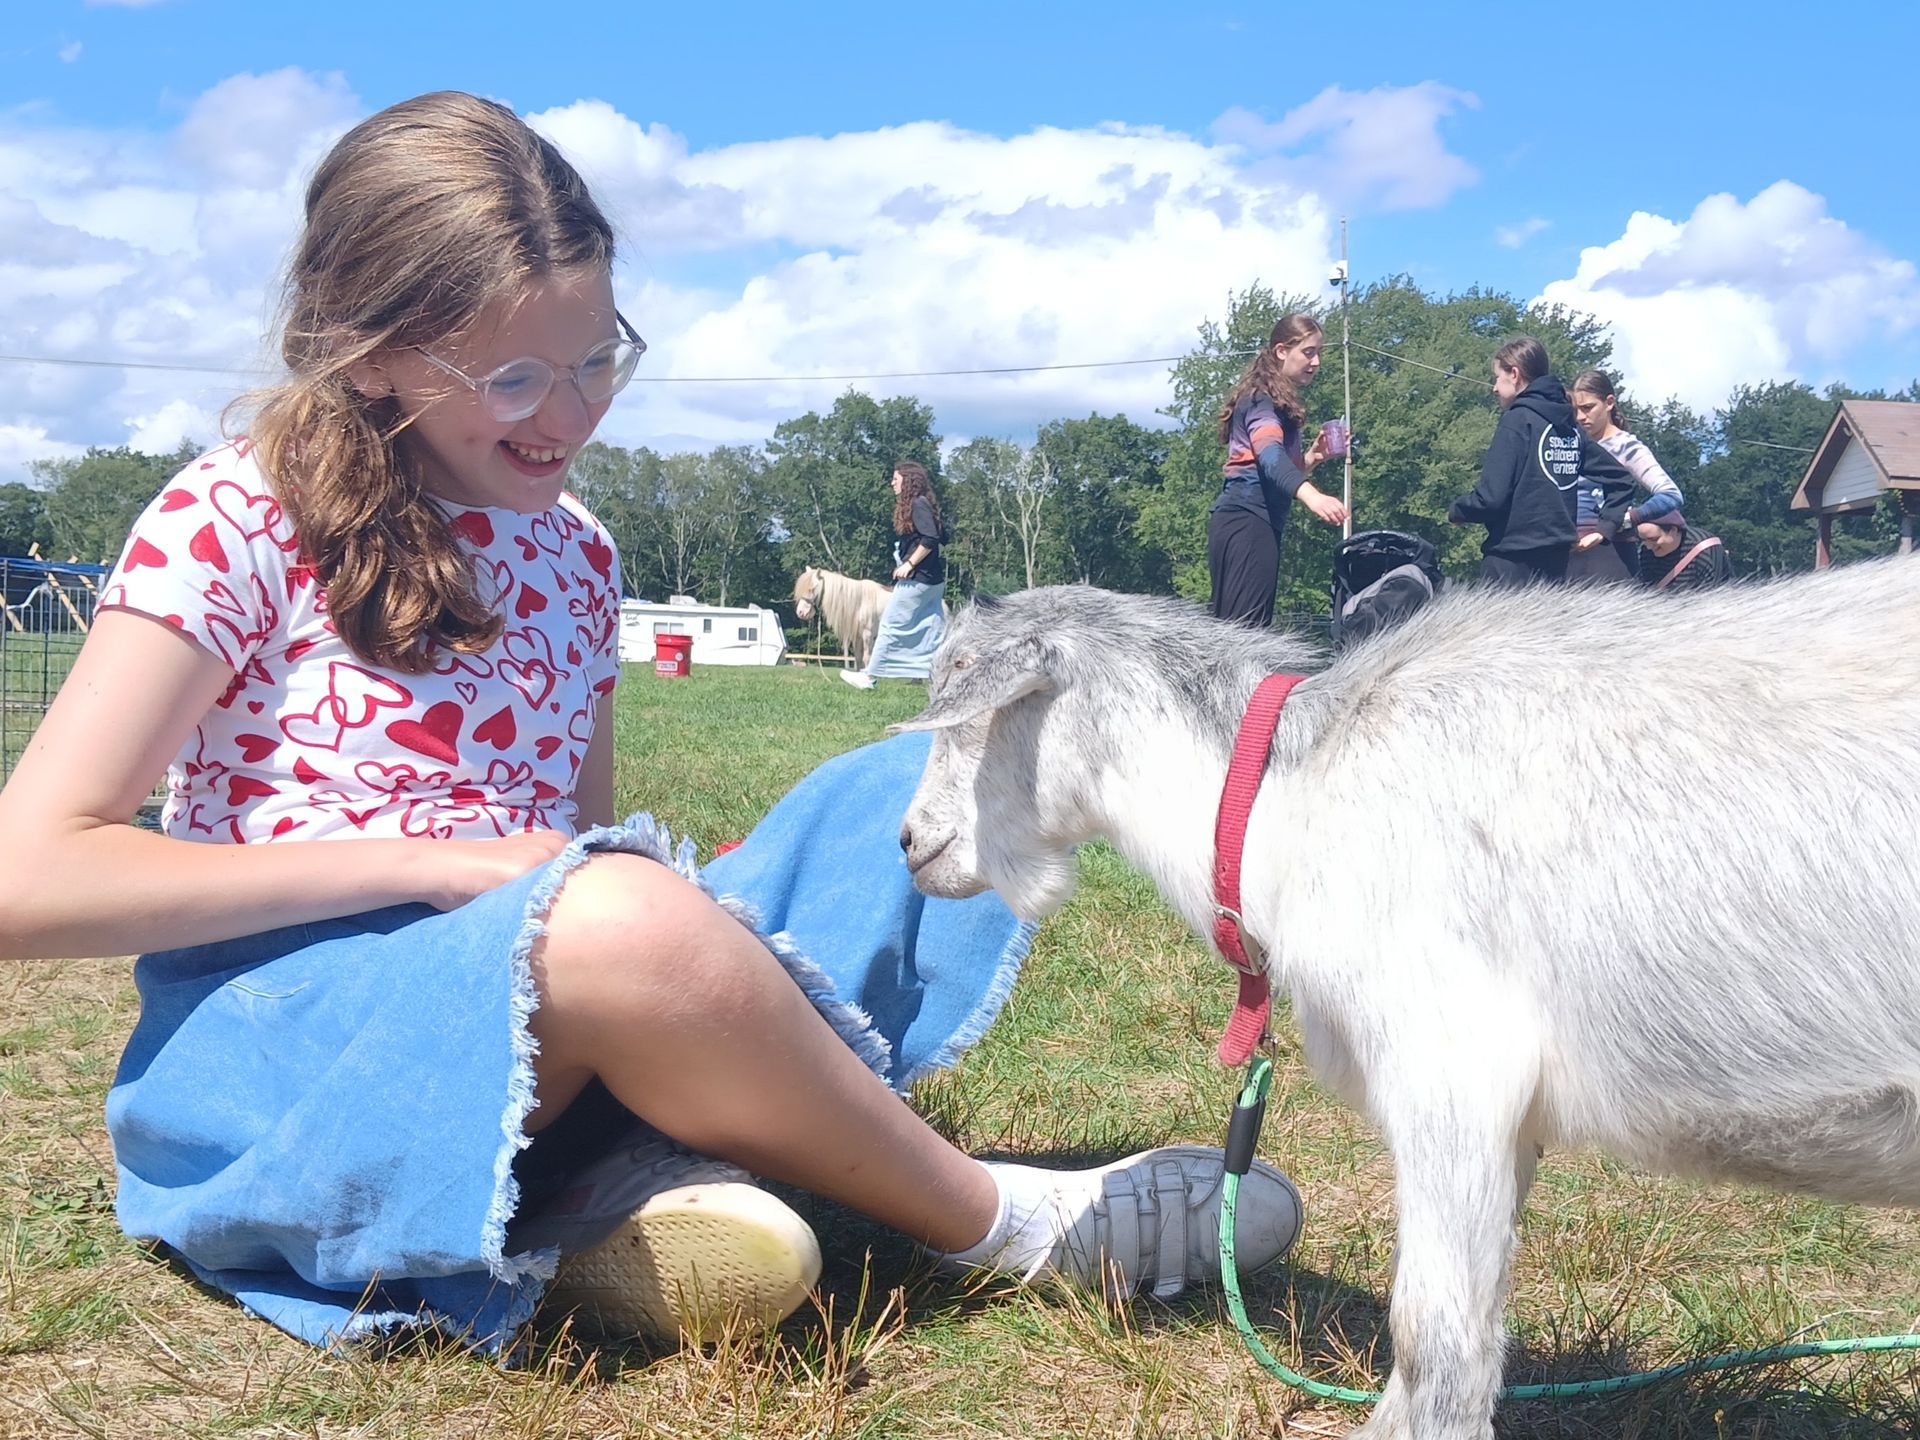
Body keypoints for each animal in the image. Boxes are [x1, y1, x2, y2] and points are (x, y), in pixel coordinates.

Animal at [894, 566, 1920, 1440]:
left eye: (959, 712)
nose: (909, 842)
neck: (1287, 802)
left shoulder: (1449, 1069)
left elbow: (1438, 1342)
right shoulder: (1507, 1123)